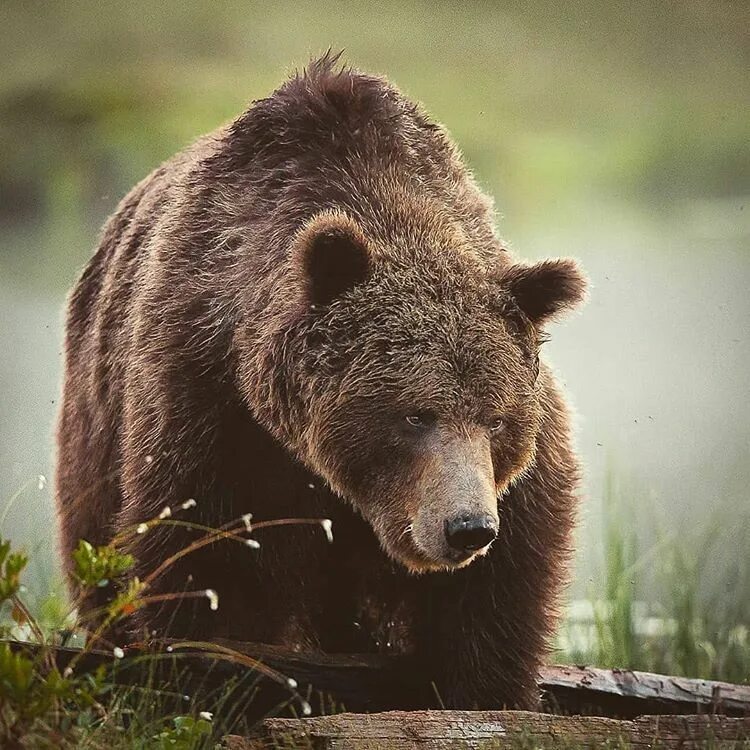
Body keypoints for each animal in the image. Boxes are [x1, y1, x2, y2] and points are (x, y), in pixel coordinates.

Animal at [55, 54, 592, 712]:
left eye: (496, 420)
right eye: (414, 414)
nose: (466, 527)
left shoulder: (513, 471)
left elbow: (503, 583)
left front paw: (481, 689)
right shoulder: (209, 401)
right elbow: (206, 559)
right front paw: (217, 676)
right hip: (92, 433)